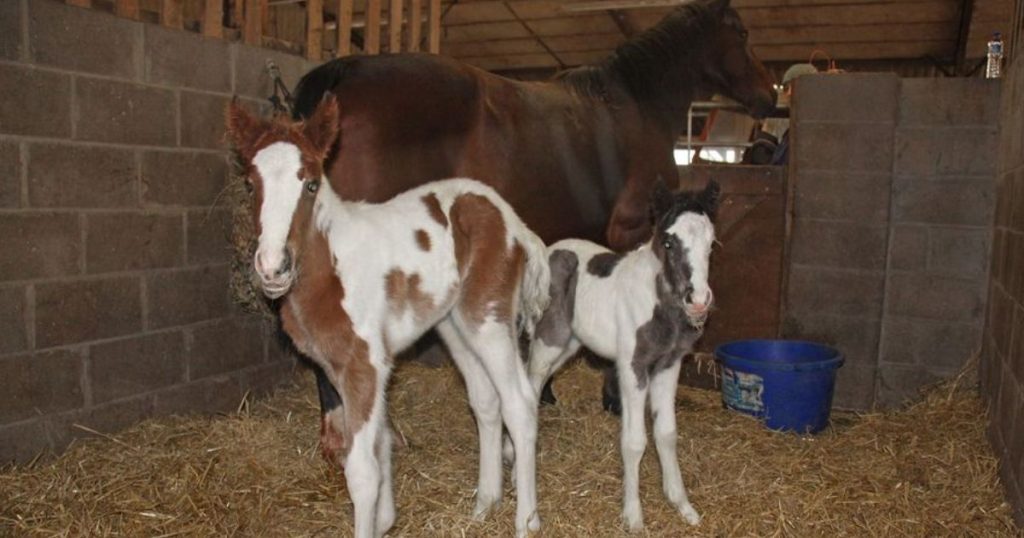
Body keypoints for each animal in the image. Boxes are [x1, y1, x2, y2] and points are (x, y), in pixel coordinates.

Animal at [225, 95, 550, 538]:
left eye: (310, 184)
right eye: (250, 184)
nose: (273, 267)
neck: (331, 267)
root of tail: (516, 223)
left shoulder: (365, 364)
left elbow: (362, 470)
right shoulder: (346, 369)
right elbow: (379, 447)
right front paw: (386, 521)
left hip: (488, 318)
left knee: (519, 402)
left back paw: (526, 521)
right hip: (455, 326)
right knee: (486, 402)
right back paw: (484, 505)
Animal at [290, 0, 774, 457]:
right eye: (742, 33)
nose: (769, 96)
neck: (637, 106)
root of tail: (345, 72)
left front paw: (547, 393)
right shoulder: (633, 229)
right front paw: (615, 396)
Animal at [521, 180, 720, 531]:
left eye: (711, 243)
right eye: (668, 242)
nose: (698, 301)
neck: (657, 303)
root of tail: (549, 252)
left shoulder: (668, 366)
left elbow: (666, 434)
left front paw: (683, 506)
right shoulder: (633, 367)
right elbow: (634, 441)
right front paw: (634, 516)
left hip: (570, 344)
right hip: (550, 341)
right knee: (532, 383)